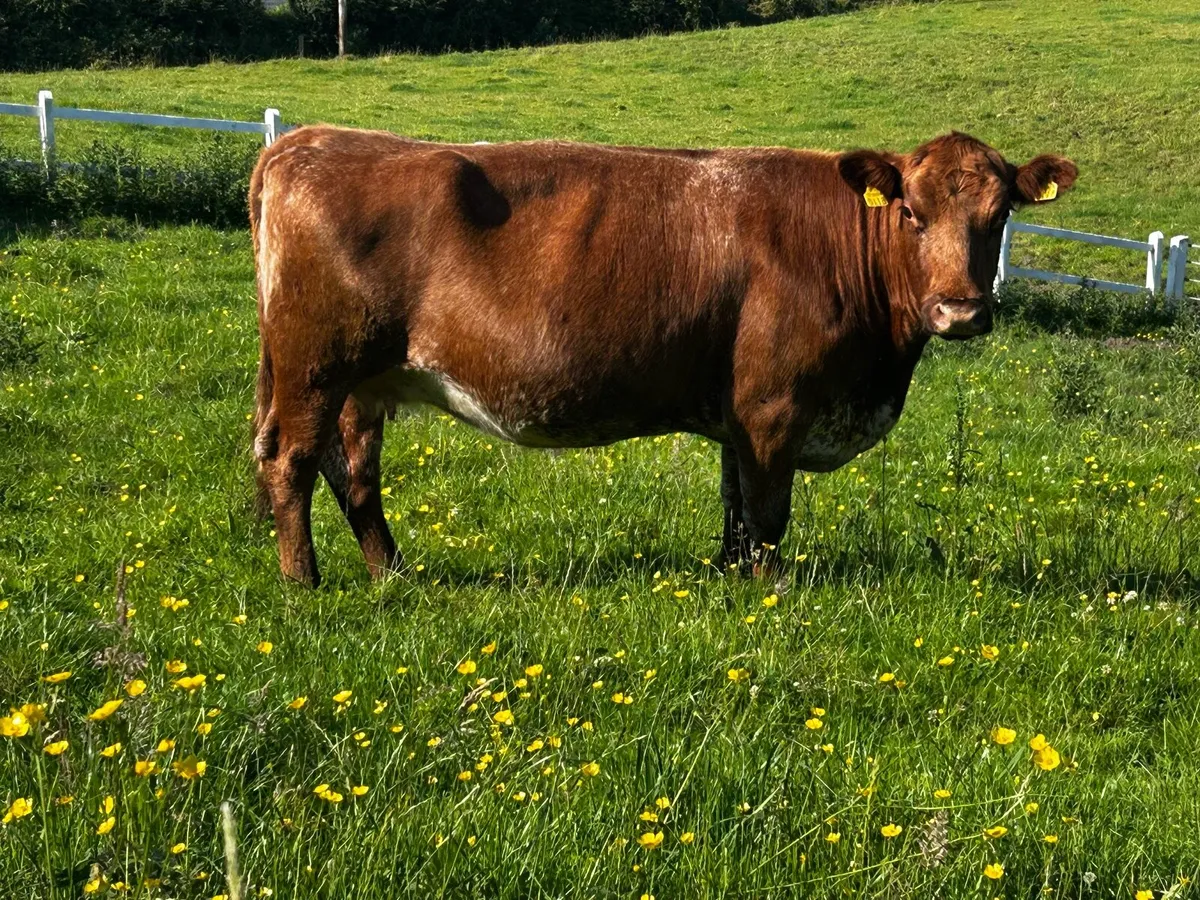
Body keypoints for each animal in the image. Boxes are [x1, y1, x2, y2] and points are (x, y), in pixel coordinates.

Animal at [249, 127, 1076, 586]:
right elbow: (768, 514)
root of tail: (310, 139)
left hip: (363, 383)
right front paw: (767, 590)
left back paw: (391, 573)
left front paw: (729, 578)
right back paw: (303, 582)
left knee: (353, 474)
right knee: (290, 461)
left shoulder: (740, 415)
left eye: (1000, 214)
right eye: (910, 211)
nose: (960, 310)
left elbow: (736, 507)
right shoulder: (774, 408)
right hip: (314, 367)